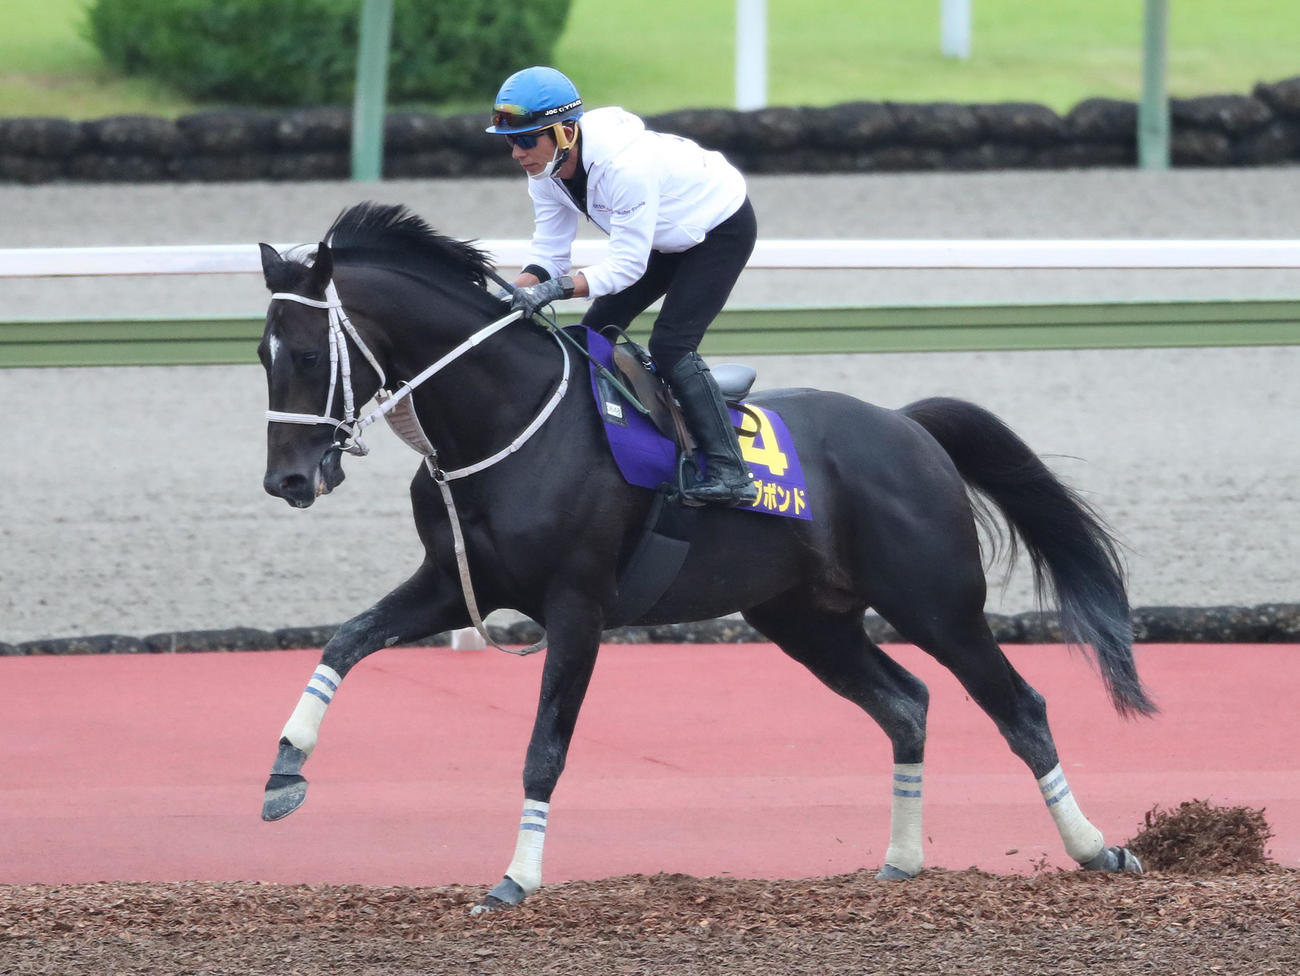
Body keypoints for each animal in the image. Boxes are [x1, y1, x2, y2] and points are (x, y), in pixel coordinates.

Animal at [256, 202, 1155, 911]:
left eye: (308, 355)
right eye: (261, 355)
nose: (288, 479)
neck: (506, 424)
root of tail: (909, 428)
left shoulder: (577, 605)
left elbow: (545, 747)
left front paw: (515, 879)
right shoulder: (452, 584)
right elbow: (346, 640)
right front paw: (285, 770)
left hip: (937, 603)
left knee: (1019, 707)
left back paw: (1097, 848)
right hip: (806, 618)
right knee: (906, 705)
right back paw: (901, 860)